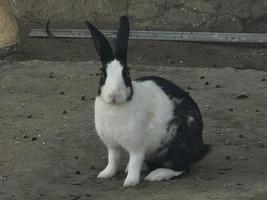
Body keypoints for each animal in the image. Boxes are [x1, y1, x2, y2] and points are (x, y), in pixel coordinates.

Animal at [85, 16, 210, 187]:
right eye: (102, 74)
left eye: (127, 74)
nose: (114, 94)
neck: (115, 107)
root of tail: (199, 147)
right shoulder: (112, 145)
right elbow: (113, 160)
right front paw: (105, 174)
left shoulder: (137, 145)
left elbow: (135, 161)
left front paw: (130, 182)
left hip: (178, 146)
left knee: (183, 167)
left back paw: (157, 175)